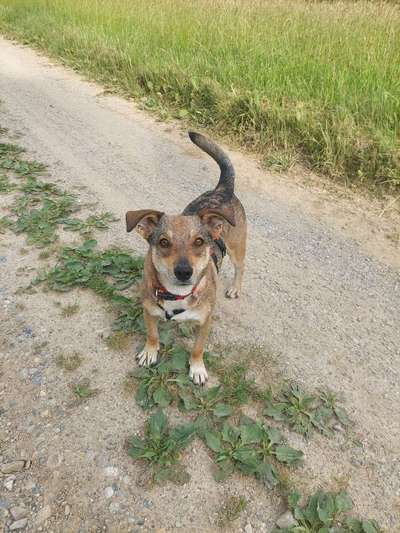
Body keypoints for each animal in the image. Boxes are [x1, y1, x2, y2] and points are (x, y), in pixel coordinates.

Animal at [126, 131, 247, 384]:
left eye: (199, 242)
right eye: (163, 242)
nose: (183, 271)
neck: (177, 295)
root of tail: (223, 190)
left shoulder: (205, 322)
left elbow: (198, 348)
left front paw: (197, 368)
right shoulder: (148, 311)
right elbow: (152, 335)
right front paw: (150, 352)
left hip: (237, 248)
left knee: (240, 268)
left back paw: (235, 288)